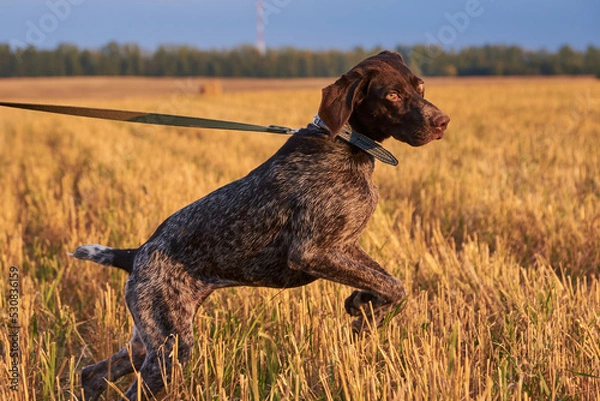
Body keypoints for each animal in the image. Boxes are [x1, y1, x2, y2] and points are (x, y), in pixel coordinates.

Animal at [71, 51, 450, 398]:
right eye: (392, 95)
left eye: (419, 86)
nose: (442, 121)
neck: (346, 143)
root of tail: (134, 254)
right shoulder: (312, 253)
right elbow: (394, 287)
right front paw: (365, 316)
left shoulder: (345, 246)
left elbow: (389, 283)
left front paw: (361, 305)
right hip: (169, 349)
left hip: (149, 334)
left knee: (93, 373)